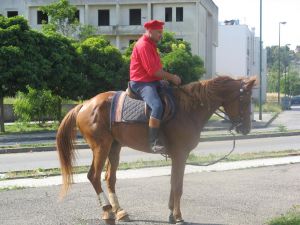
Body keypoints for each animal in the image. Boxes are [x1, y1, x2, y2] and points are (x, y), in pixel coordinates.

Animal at [55, 76, 255, 225]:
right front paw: (178, 216)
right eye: (245, 100)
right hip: (101, 146)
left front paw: (171, 214)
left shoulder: (177, 156)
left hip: (114, 147)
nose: (246, 128)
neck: (188, 109)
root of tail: (85, 104)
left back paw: (119, 211)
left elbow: (173, 184)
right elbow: (178, 186)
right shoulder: (180, 155)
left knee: (109, 178)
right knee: (94, 176)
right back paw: (107, 212)